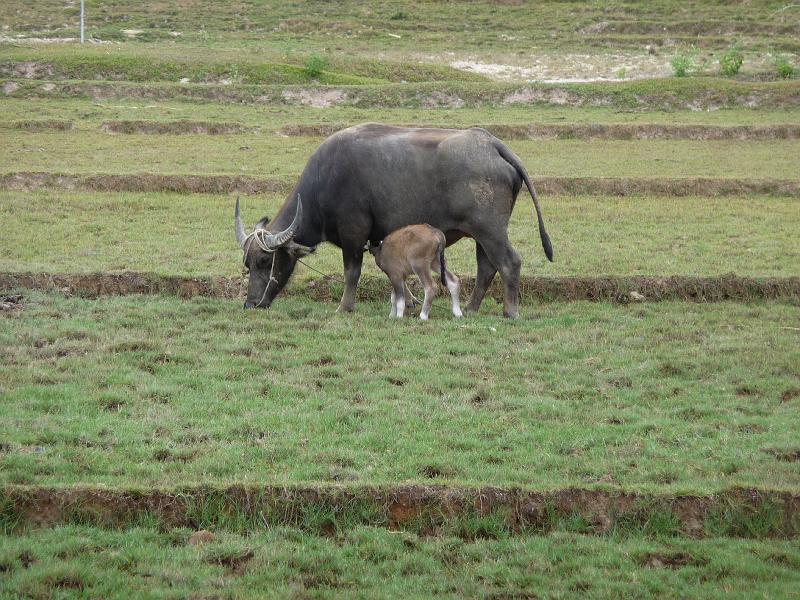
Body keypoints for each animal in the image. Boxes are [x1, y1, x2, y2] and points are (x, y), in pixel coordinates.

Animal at [234, 122, 552, 318]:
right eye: (247, 264)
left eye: (265, 261)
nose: (251, 304)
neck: (324, 183)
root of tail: (492, 144)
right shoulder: (378, 237)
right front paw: (409, 302)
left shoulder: (353, 233)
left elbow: (352, 272)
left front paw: (345, 307)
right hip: (480, 233)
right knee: (486, 267)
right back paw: (471, 309)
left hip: (491, 230)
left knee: (509, 262)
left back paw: (510, 311)